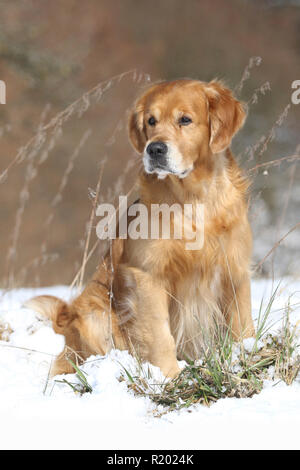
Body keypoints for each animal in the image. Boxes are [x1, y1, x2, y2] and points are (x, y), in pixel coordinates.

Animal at [26, 78, 255, 378]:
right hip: (96, 313)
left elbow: (242, 324)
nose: (154, 149)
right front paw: (169, 377)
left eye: (185, 119)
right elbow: (160, 335)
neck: (192, 199)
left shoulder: (234, 269)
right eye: (151, 121)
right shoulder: (148, 275)